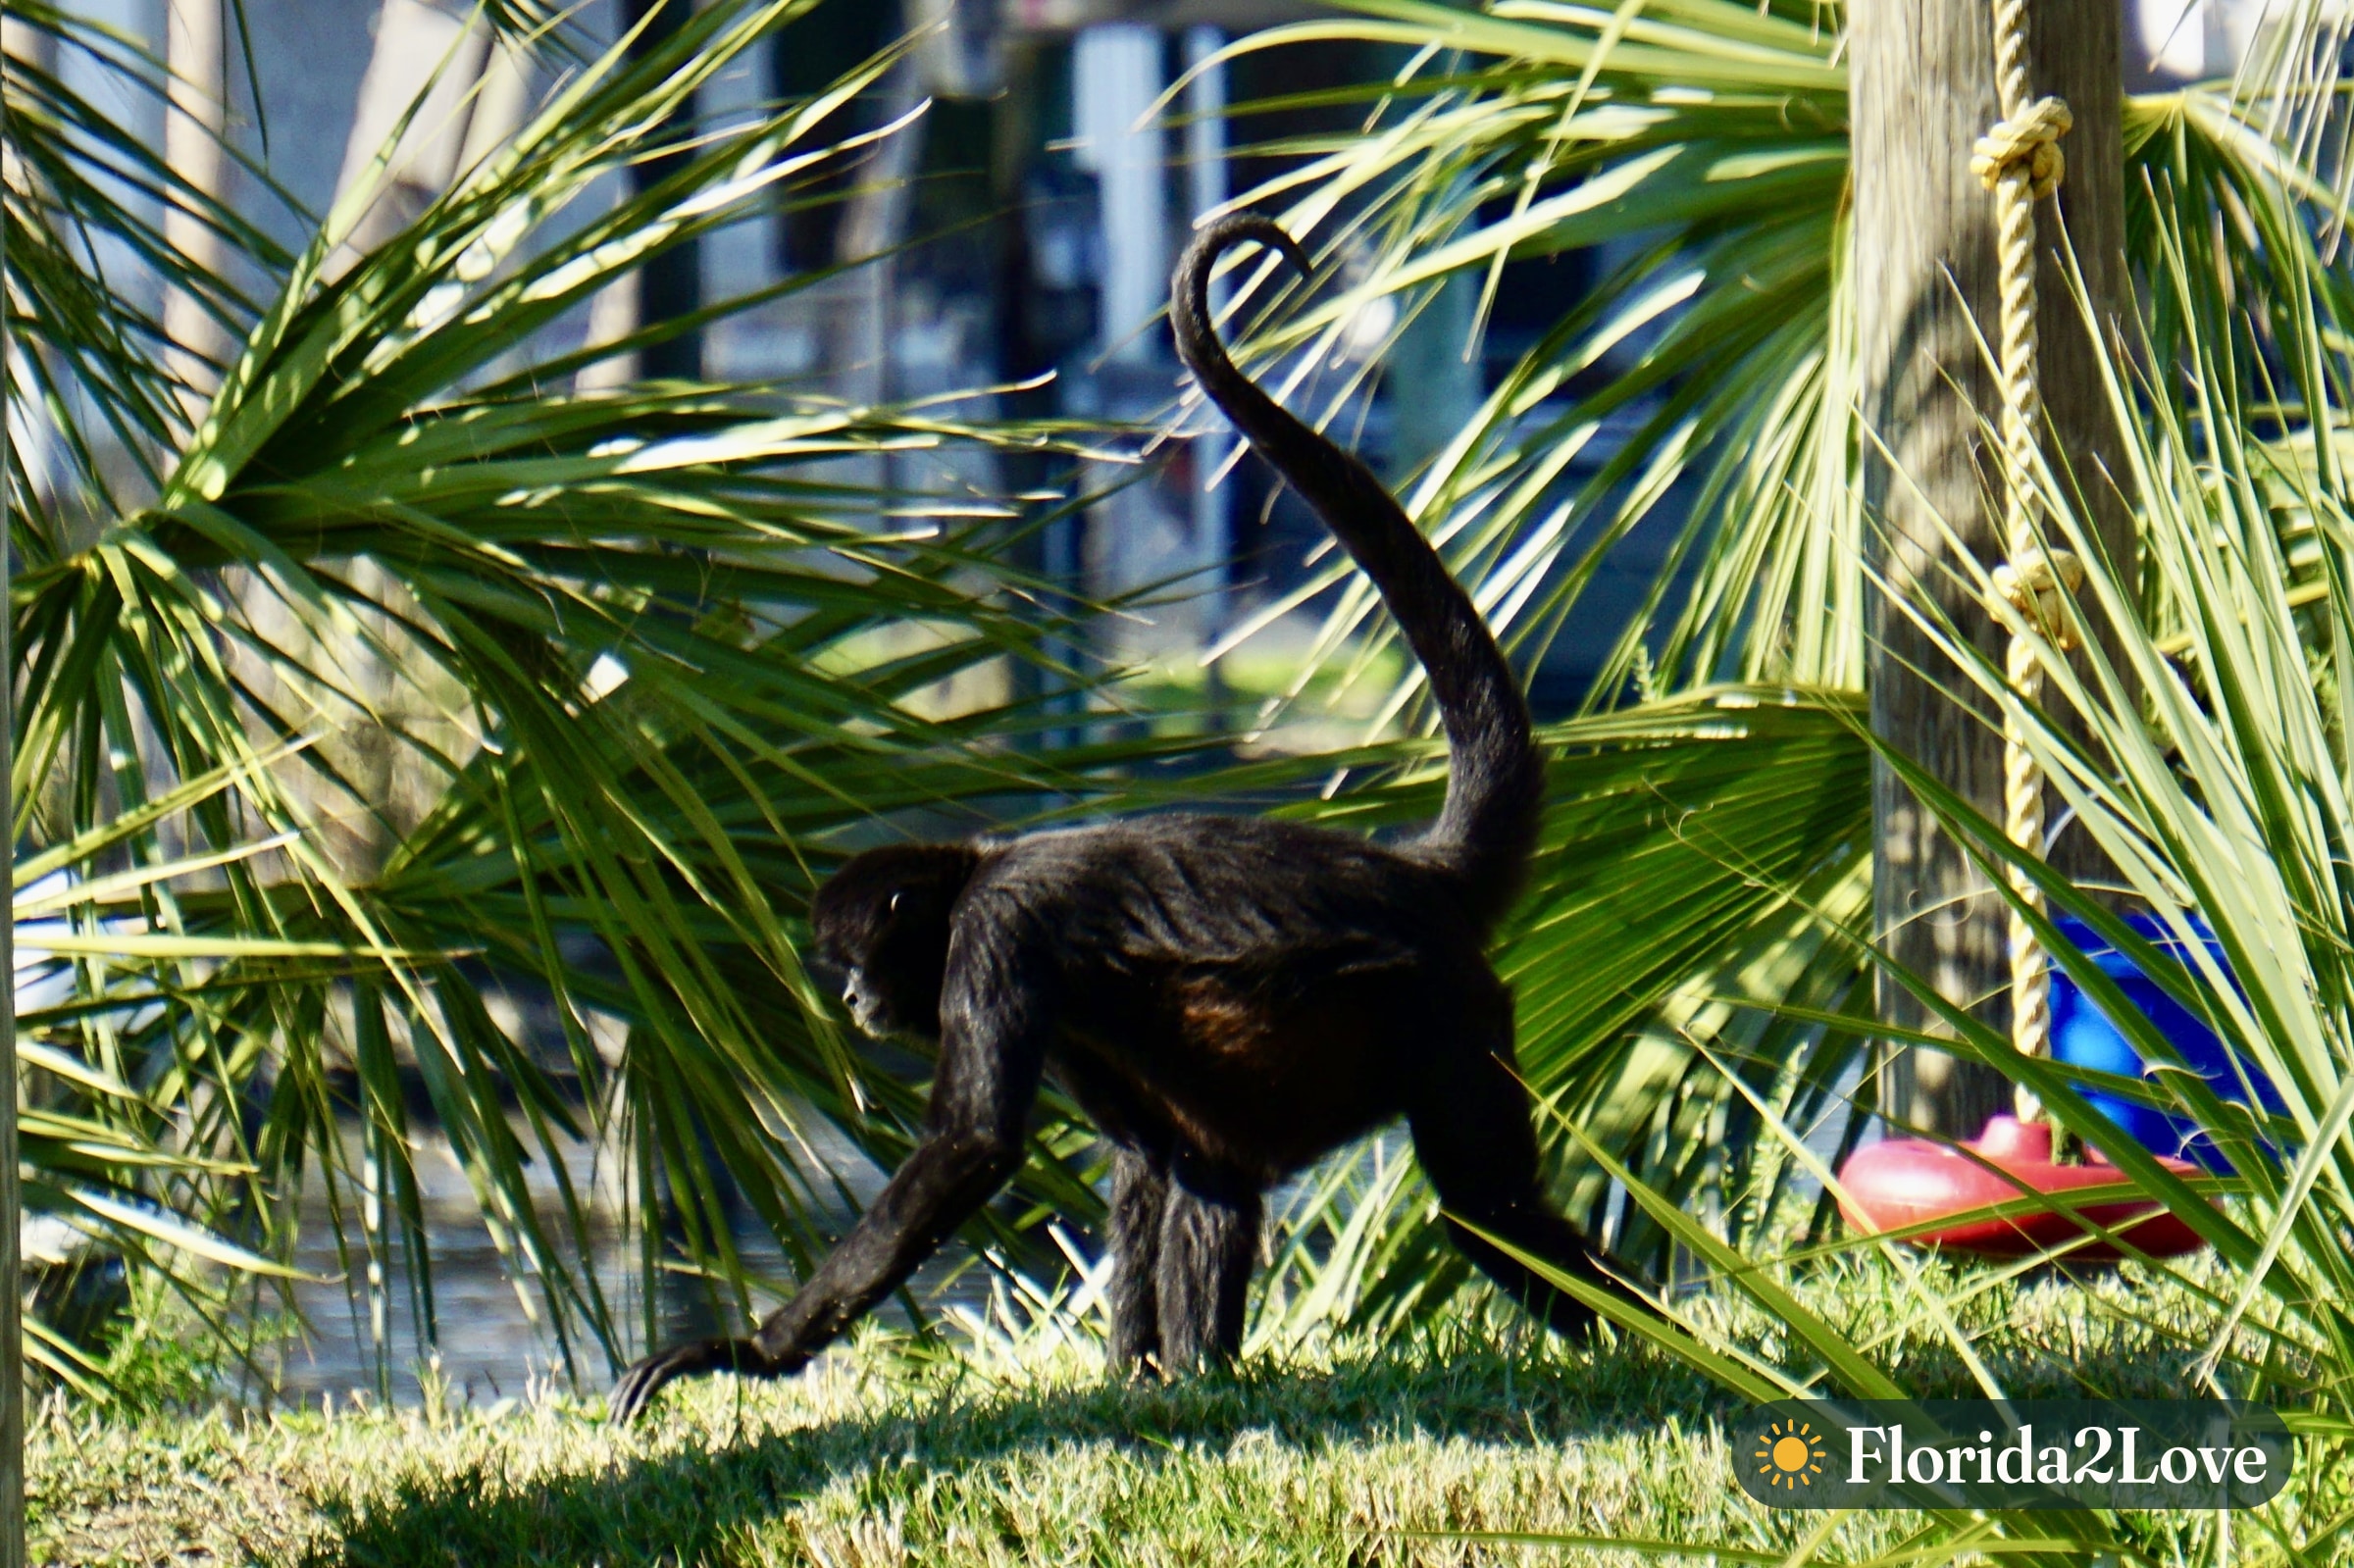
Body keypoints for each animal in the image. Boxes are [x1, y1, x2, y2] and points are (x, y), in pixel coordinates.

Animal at [606, 212, 1639, 1424]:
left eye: (850, 960)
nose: (855, 1001)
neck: (978, 865)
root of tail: (1411, 872)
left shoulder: (1000, 936)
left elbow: (971, 1147)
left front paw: (747, 1353)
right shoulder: (1055, 1006)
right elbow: (1147, 1156)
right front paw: (1124, 1385)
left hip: (1439, 1008)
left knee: (1482, 1206)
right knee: (1217, 1164)